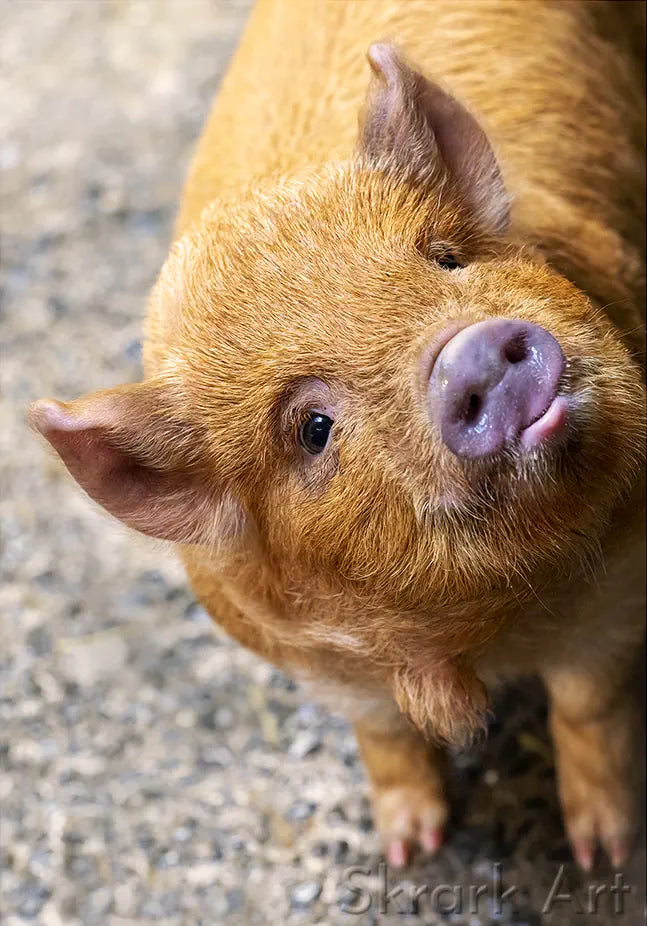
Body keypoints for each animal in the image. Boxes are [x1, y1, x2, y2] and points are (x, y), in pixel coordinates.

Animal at [29, 0, 646, 871]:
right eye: (313, 428)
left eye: (446, 259)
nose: (471, 349)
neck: (481, 636)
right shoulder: (317, 667)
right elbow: (383, 735)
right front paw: (410, 849)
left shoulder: (618, 593)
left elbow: (590, 711)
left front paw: (606, 855)